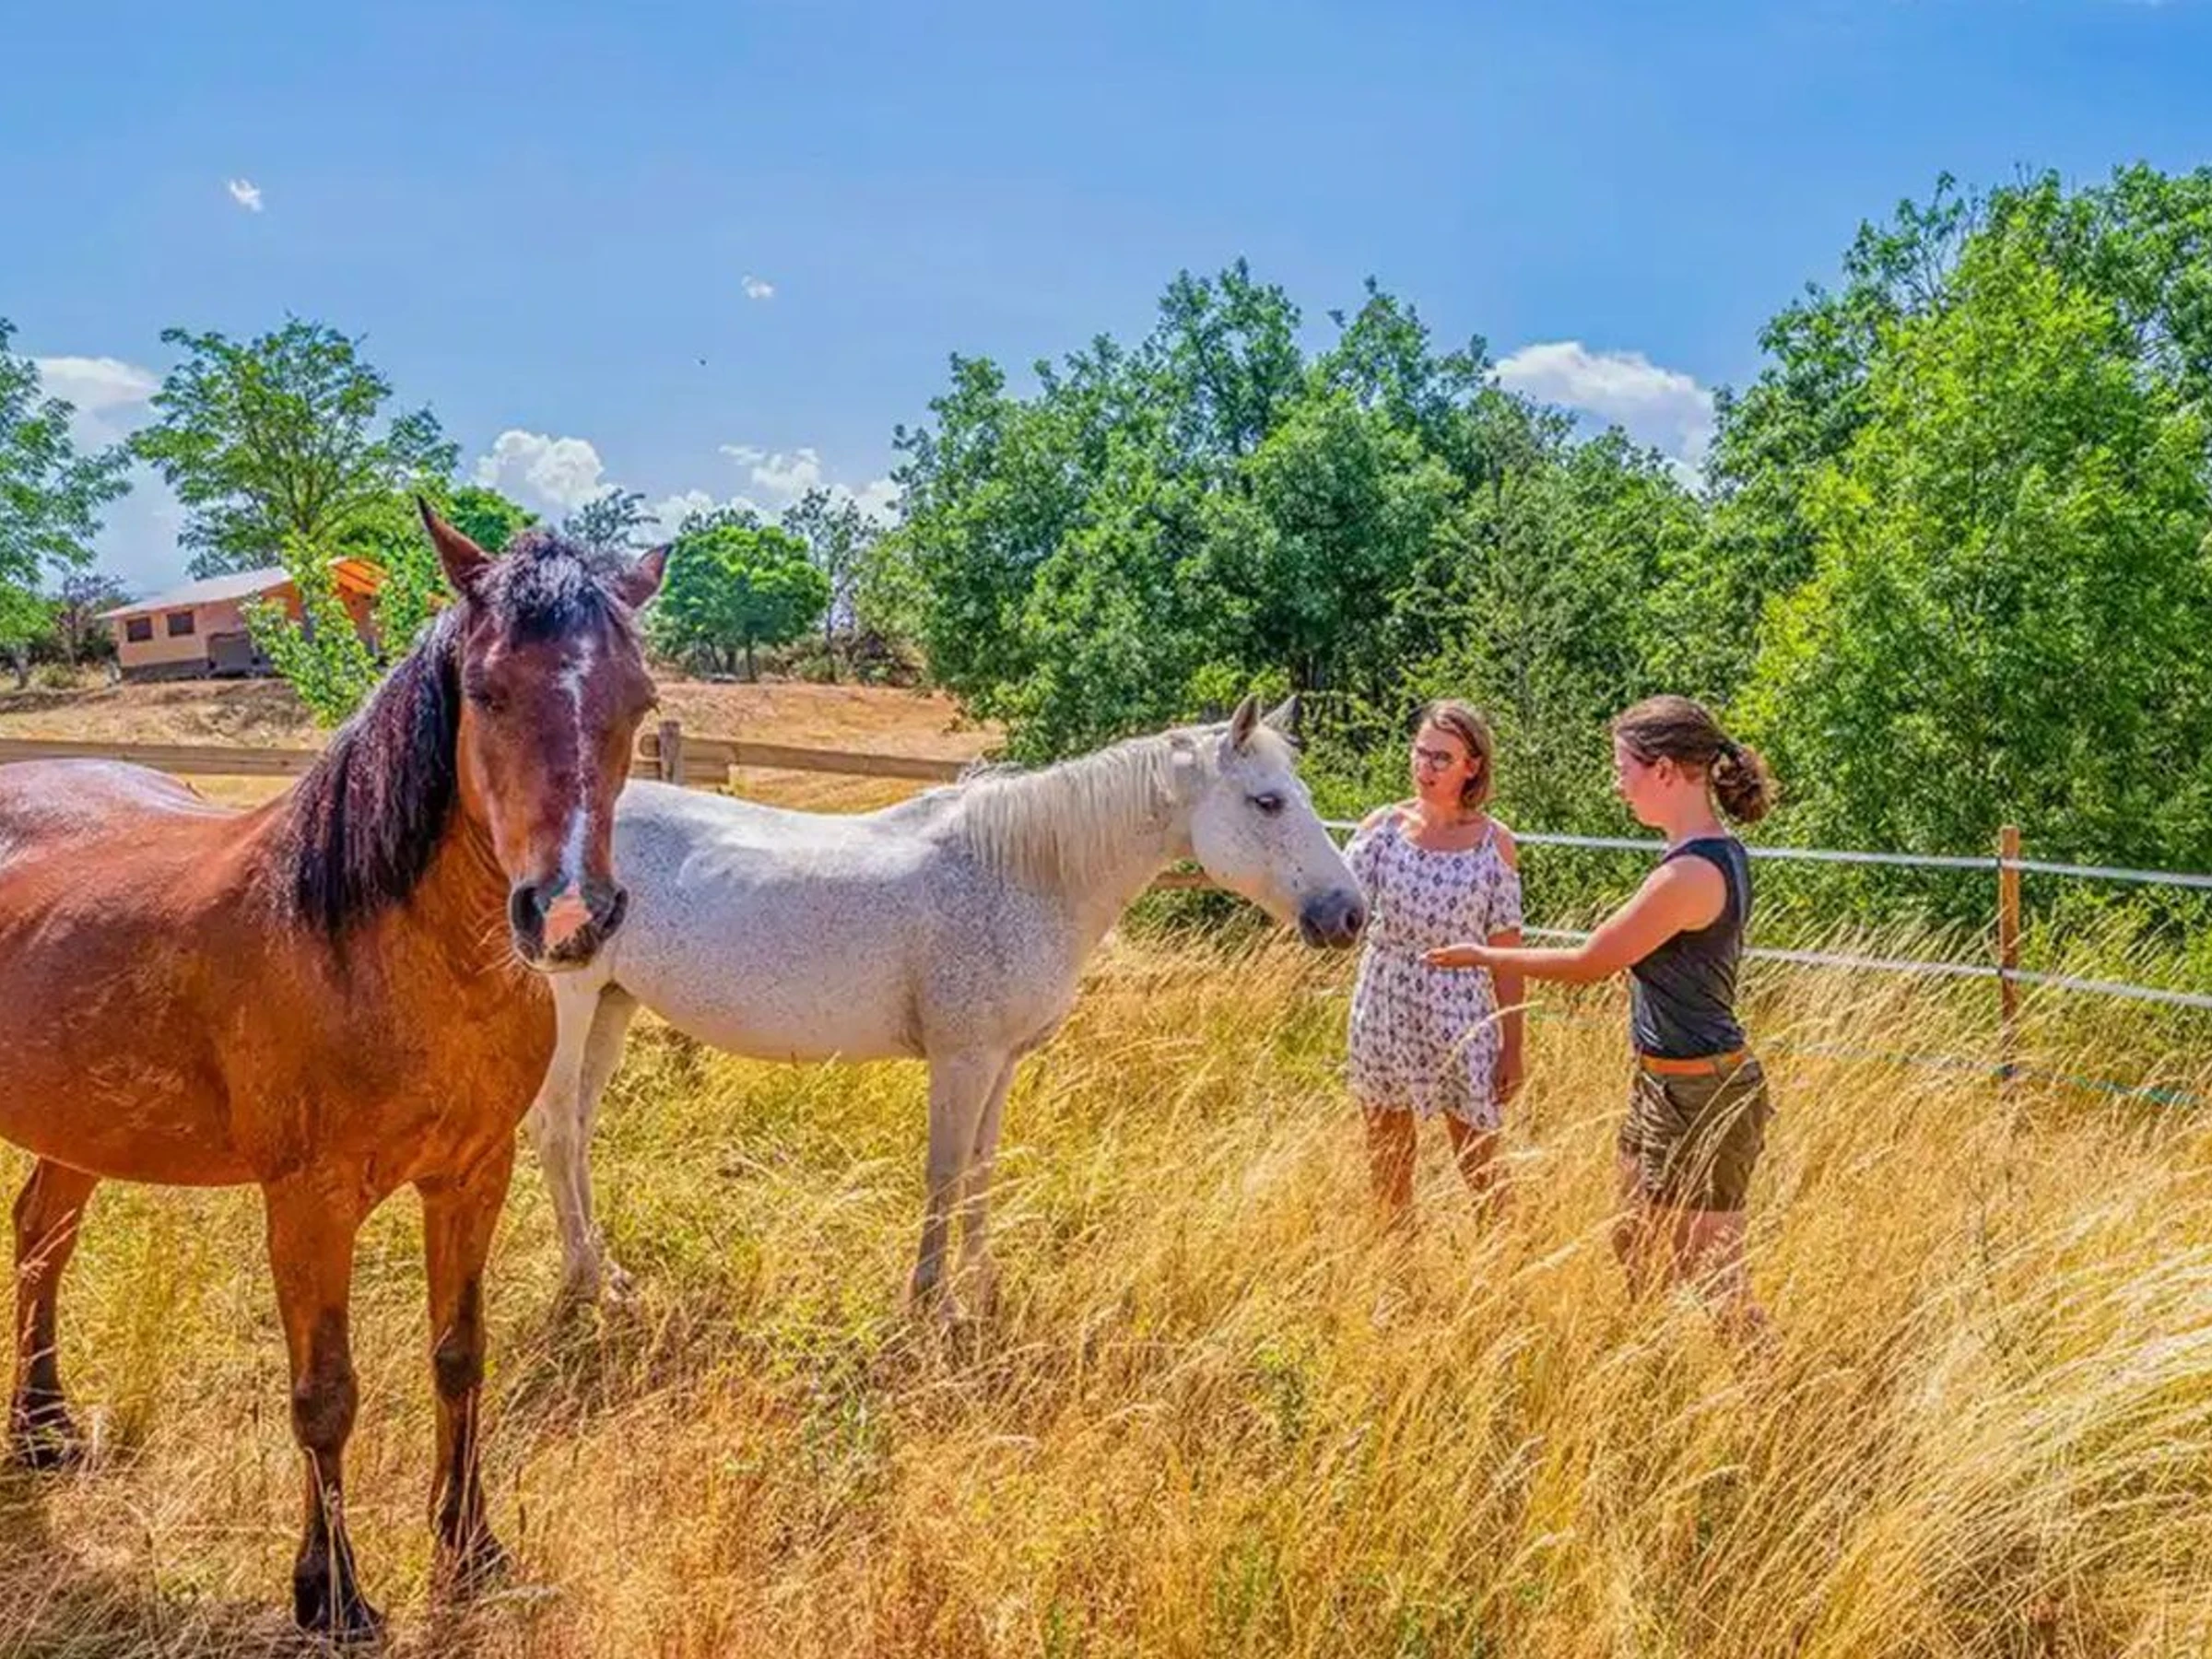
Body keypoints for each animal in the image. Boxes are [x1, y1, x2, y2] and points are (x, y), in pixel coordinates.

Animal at [0, 507, 665, 1639]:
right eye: (487, 690)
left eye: (639, 702)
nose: (570, 915)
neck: (377, 952)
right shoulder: (308, 1204)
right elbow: (326, 1395)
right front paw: (334, 1594)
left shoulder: (472, 1177)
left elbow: (459, 1357)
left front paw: (470, 1553)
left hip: (77, 1123)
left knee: (45, 1238)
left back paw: (43, 1433)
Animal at [523, 694, 1366, 1318]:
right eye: (1267, 802)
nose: (1349, 914)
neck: (1021, 873)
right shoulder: (962, 1059)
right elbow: (946, 1170)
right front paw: (933, 1301)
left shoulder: (1001, 1062)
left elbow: (983, 1168)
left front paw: (982, 1286)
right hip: (569, 1005)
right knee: (556, 1132)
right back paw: (587, 1284)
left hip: (613, 1005)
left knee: (583, 1129)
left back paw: (610, 1269)